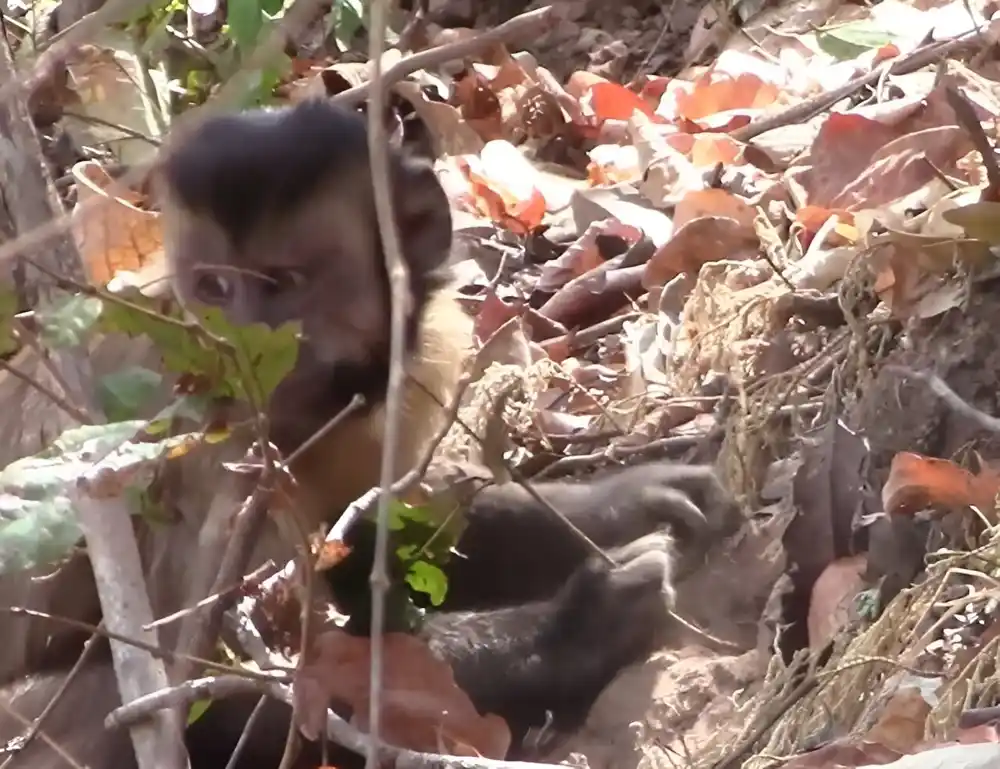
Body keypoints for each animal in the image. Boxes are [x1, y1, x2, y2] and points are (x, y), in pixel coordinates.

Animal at [0, 100, 744, 768]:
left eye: (283, 281)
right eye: (213, 288)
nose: (240, 343)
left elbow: (383, 526)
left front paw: (624, 500)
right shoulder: (189, 425)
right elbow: (224, 678)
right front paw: (578, 627)